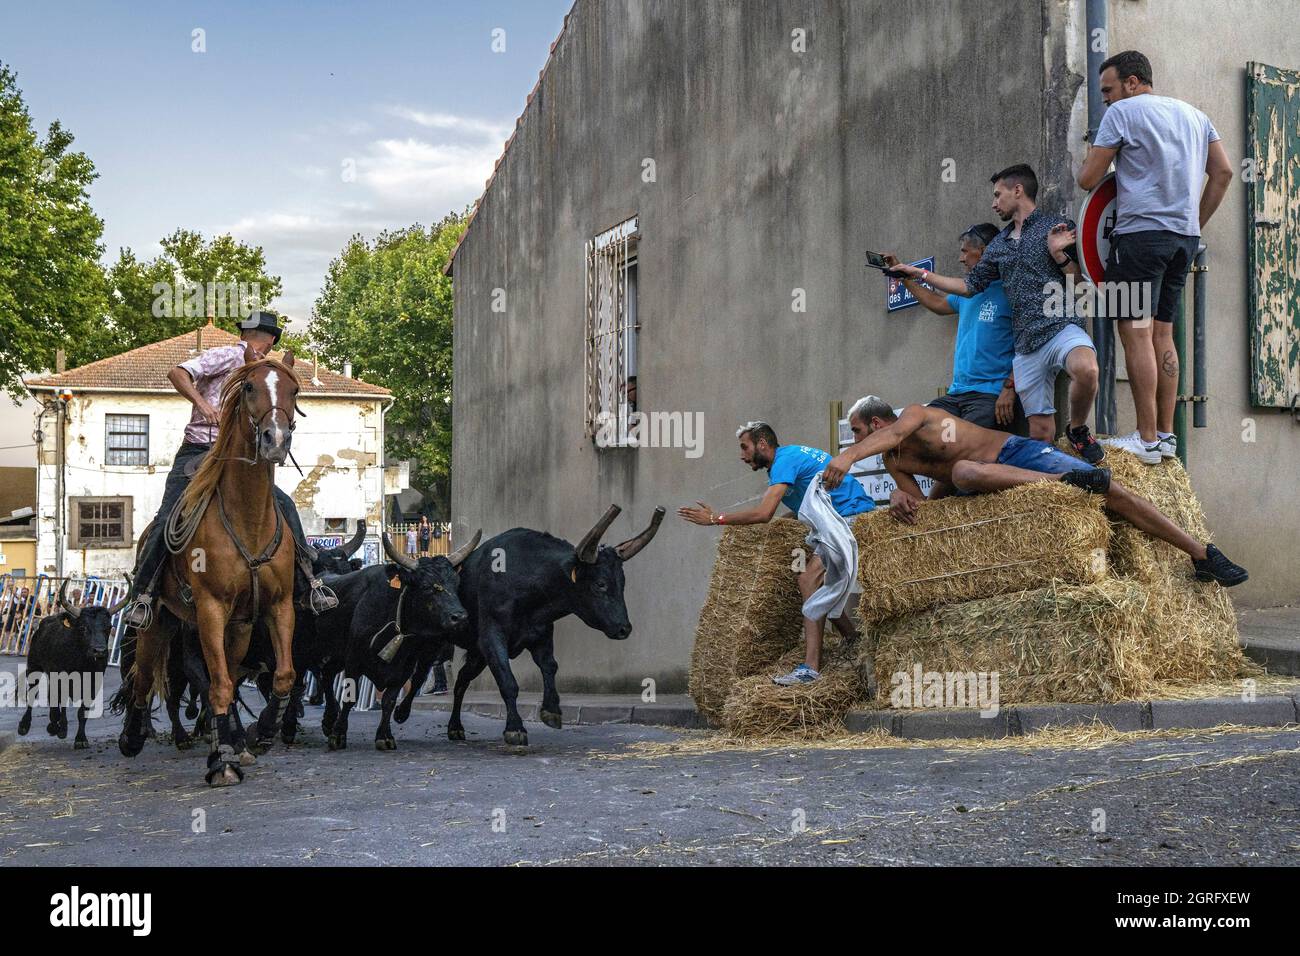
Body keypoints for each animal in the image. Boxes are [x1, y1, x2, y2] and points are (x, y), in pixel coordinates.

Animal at [116, 343, 299, 785]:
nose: (275, 439)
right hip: (159, 621)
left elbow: (281, 675)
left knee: (229, 676)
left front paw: (261, 733)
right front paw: (221, 762)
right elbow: (215, 685)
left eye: (294, 391)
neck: (247, 519)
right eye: (248, 387)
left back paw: (236, 739)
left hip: (238, 628)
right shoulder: (211, 610)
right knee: (142, 676)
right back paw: (132, 737)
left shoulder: (277, 606)